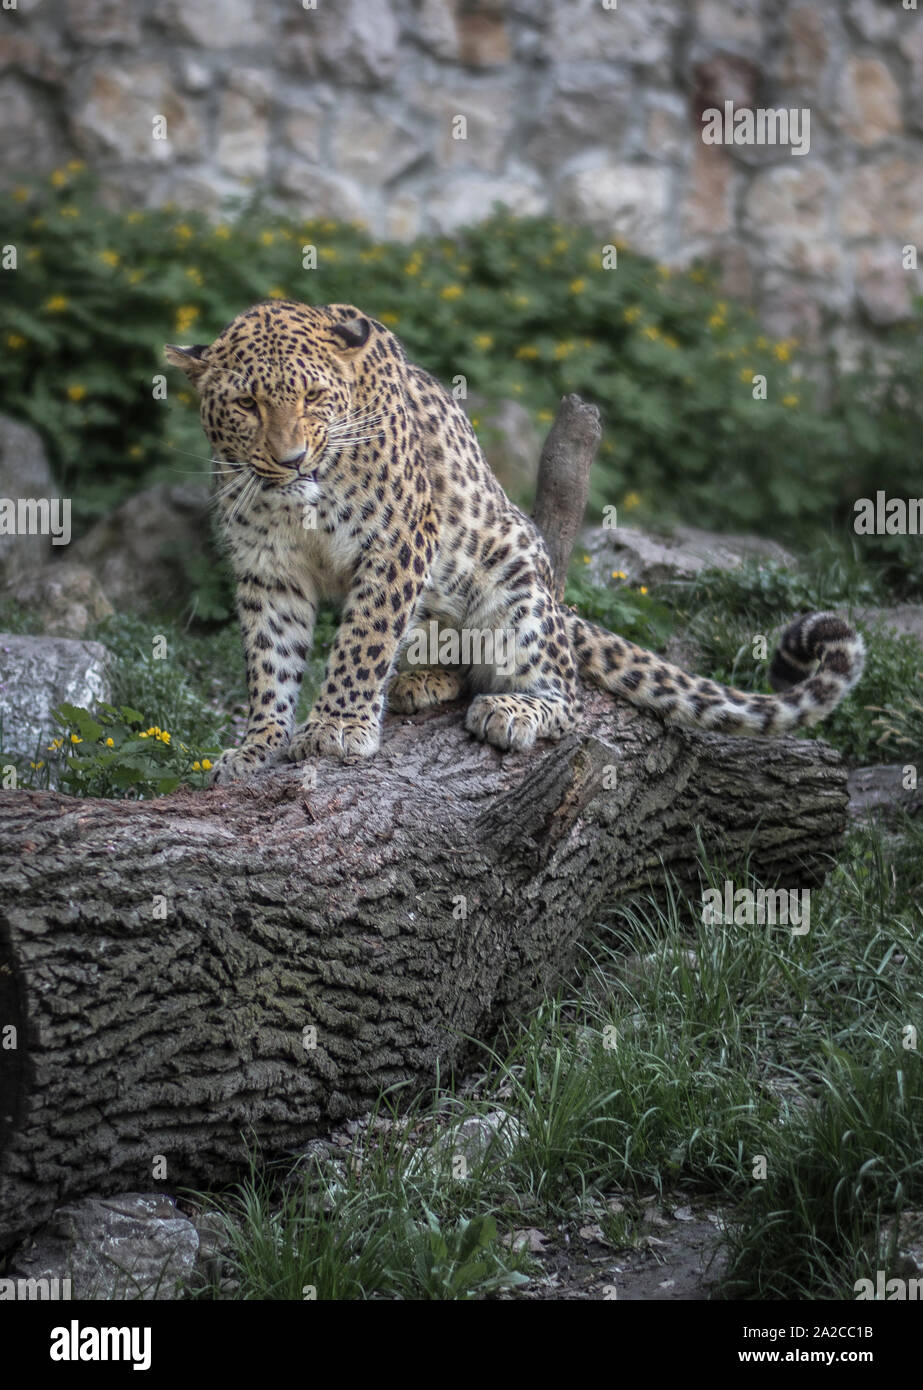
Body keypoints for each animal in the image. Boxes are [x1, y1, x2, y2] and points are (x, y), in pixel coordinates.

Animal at [164, 299, 865, 787]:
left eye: (313, 396)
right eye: (247, 405)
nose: (292, 460)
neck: (296, 508)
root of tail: (560, 599)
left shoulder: (396, 543)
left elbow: (364, 639)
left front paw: (336, 727)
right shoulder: (268, 571)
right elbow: (270, 661)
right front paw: (257, 746)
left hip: (518, 583)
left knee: (568, 697)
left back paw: (512, 710)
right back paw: (423, 681)